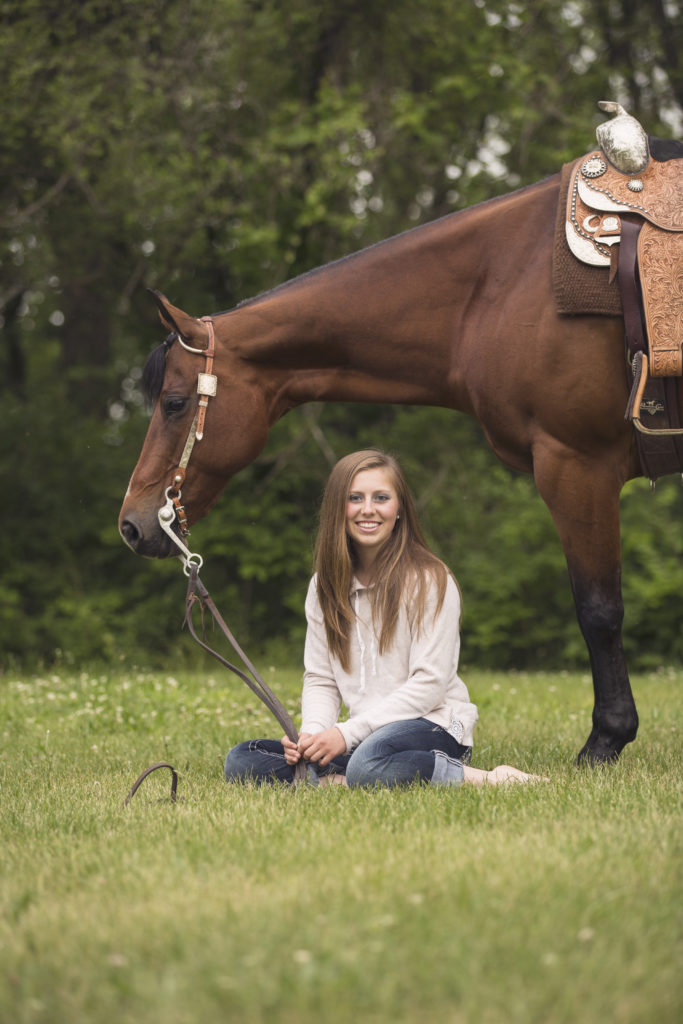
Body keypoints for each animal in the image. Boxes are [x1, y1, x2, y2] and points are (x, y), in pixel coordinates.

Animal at [120, 148, 679, 765]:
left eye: (174, 403)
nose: (132, 524)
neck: (506, 282)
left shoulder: (576, 464)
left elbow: (599, 610)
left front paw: (605, 741)